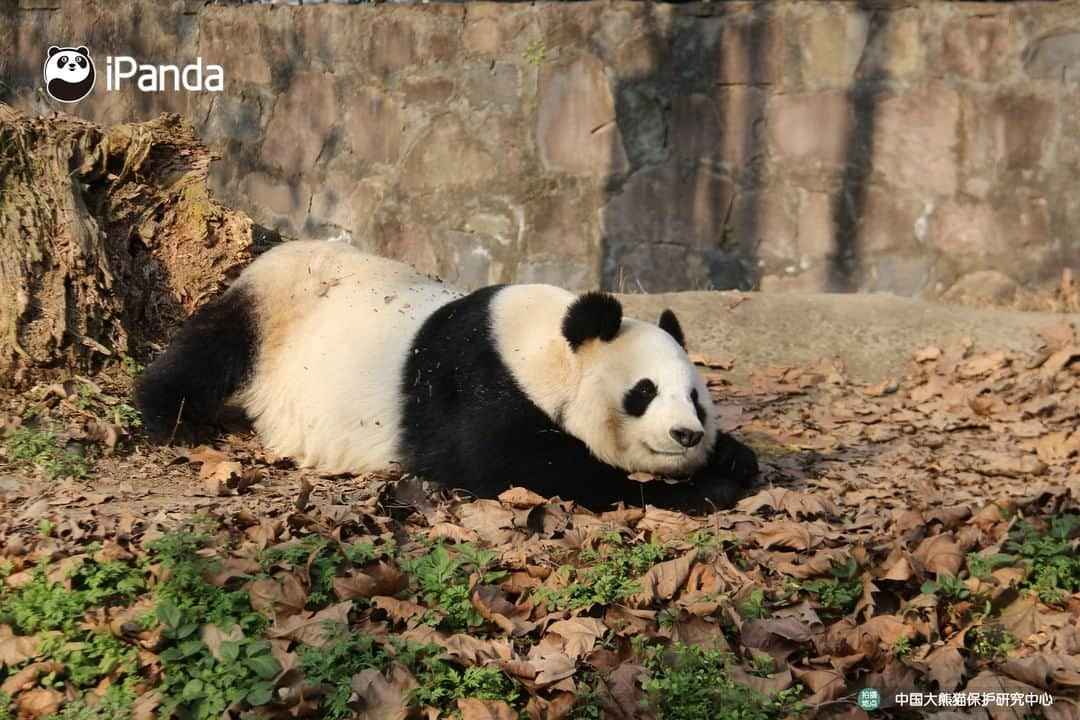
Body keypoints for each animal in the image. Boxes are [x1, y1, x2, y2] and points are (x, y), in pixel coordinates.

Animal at [135, 241, 760, 511]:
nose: (687, 435)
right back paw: (173, 419)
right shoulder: (480, 384)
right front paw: (701, 490)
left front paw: (733, 459)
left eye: (696, 399)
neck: (543, 348)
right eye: (643, 393)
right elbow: (519, 467)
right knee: (206, 354)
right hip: (271, 307)